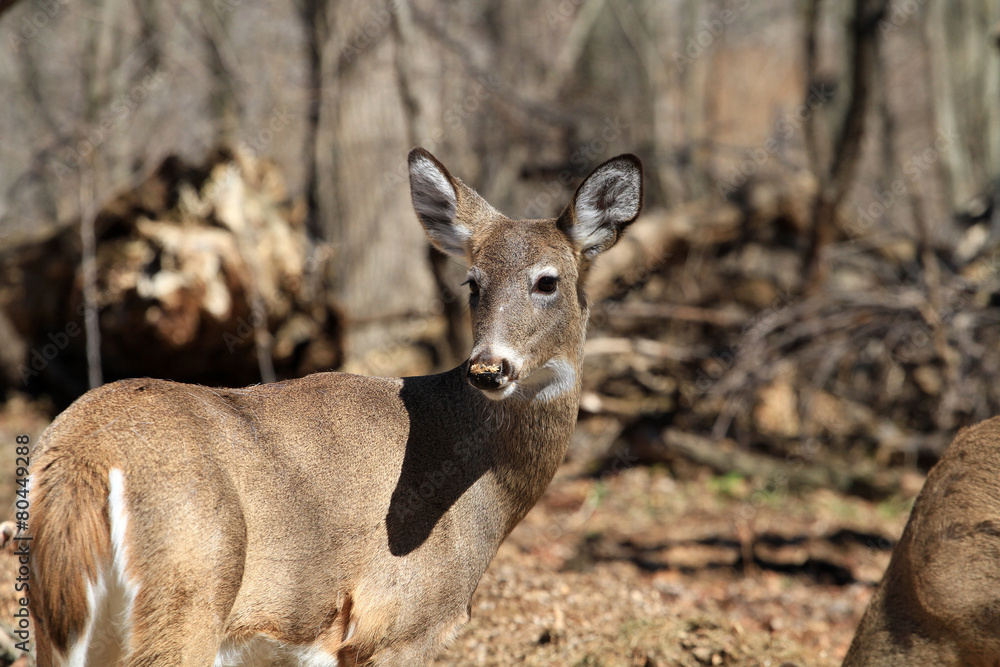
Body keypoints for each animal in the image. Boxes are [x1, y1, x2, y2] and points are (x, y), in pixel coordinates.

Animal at [27, 147, 643, 666]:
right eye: (473, 282)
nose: (488, 369)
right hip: (187, 589)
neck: (486, 492)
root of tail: (82, 455)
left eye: (548, 282)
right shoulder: (398, 625)